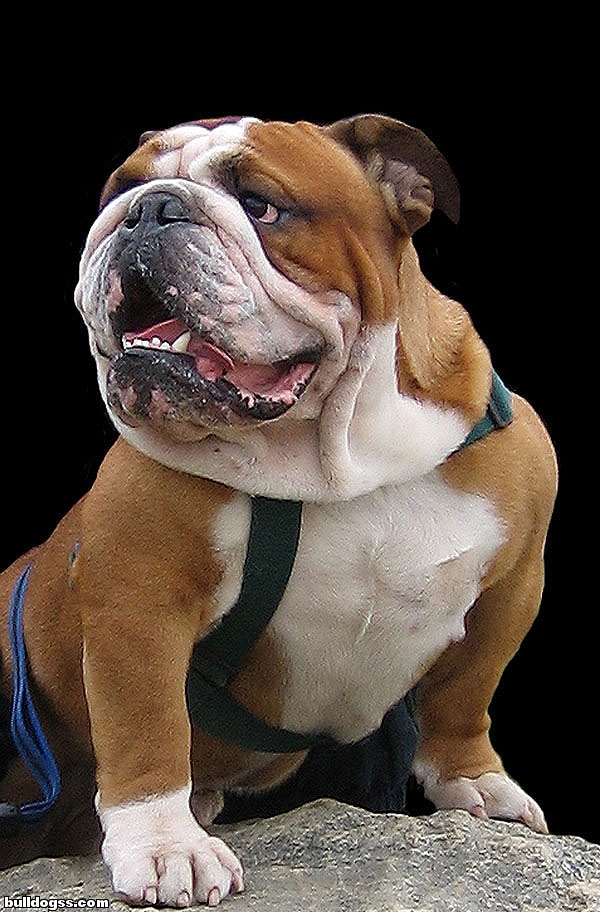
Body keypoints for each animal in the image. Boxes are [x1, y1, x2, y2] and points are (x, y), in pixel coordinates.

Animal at [0, 114, 557, 906]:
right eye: (120, 190)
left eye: (261, 205)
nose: (147, 210)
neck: (339, 460)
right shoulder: (137, 601)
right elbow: (147, 726)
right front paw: (167, 847)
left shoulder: (514, 585)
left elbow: (466, 691)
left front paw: (475, 781)